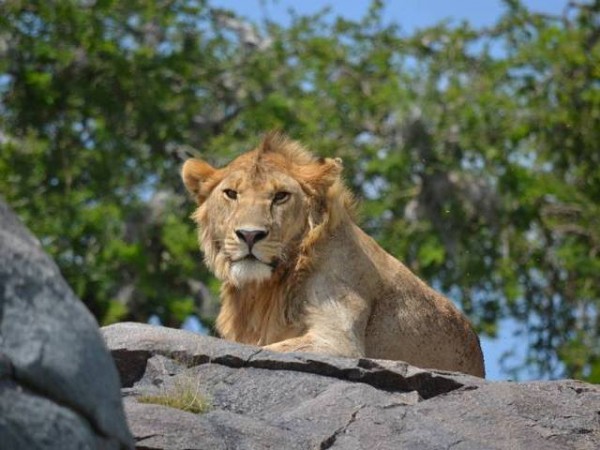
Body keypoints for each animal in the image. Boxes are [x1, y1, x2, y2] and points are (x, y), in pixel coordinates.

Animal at [180, 132, 486, 378]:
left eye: (281, 196)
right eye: (231, 193)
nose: (249, 235)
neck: (266, 288)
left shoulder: (338, 342)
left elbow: (273, 348)